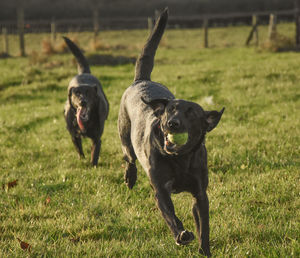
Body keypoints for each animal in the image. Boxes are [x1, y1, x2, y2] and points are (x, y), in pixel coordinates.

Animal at [63, 37, 109, 167]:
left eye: (88, 93)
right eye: (77, 94)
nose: (82, 102)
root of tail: (84, 73)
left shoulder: (97, 137)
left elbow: (95, 152)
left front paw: (93, 165)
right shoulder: (74, 135)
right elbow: (79, 150)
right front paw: (82, 160)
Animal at [118, 7, 224, 256]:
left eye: (192, 113)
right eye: (170, 110)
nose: (172, 124)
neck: (180, 159)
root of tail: (142, 80)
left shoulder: (200, 194)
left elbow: (204, 225)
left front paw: (204, 250)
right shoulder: (161, 190)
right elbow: (170, 216)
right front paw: (181, 235)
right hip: (125, 135)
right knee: (129, 158)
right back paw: (130, 178)